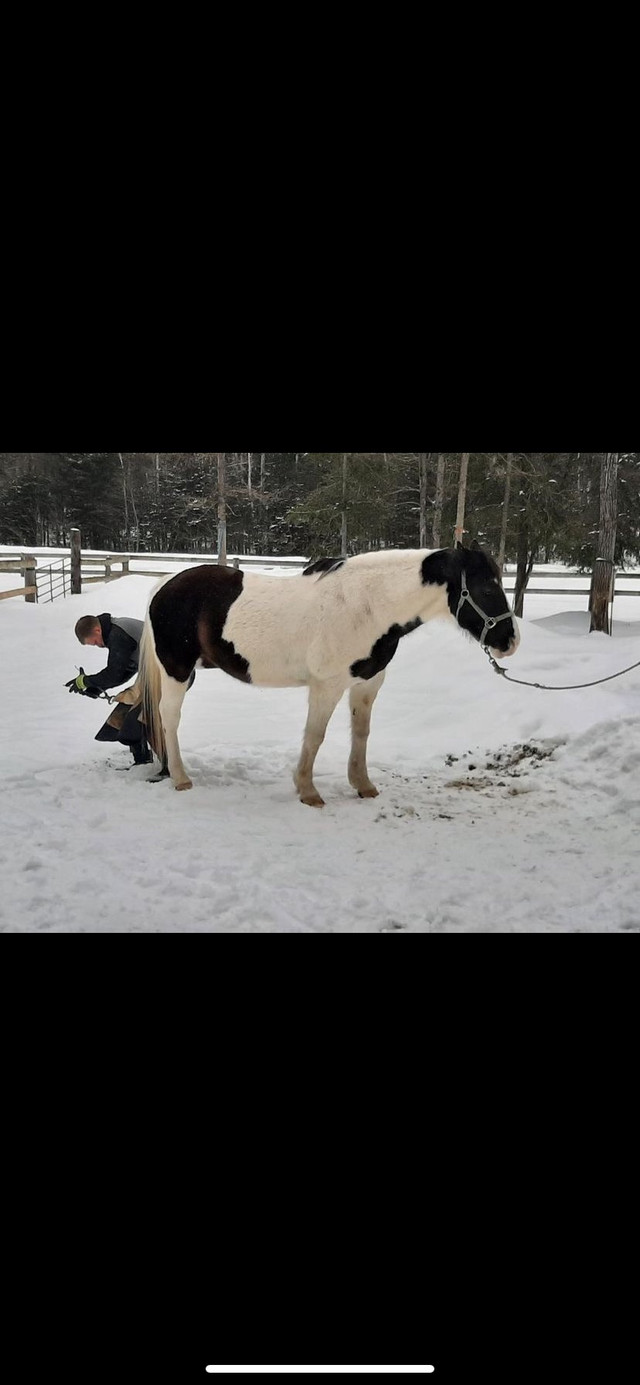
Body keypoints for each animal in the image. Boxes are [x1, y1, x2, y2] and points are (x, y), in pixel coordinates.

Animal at [130, 540, 520, 803]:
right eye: (487, 588)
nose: (510, 641)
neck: (367, 606)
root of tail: (164, 584)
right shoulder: (326, 686)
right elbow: (314, 736)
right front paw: (308, 791)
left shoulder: (367, 684)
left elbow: (361, 733)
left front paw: (363, 785)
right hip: (177, 671)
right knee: (169, 717)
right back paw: (181, 778)